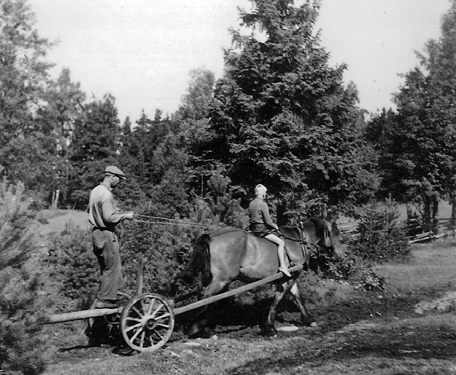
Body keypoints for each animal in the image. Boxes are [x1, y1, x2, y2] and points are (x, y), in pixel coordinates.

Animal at [176, 217, 344, 338]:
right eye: (336, 233)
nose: (340, 255)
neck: (298, 241)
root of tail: (212, 236)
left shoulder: (291, 277)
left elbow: (298, 297)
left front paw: (309, 319)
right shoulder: (287, 278)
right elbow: (277, 300)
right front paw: (269, 328)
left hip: (211, 279)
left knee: (205, 299)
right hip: (221, 280)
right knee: (204, 297)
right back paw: (199, 329)